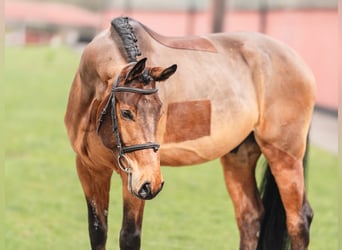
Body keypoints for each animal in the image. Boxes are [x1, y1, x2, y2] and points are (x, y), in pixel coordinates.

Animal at [65, 16, 316, 249]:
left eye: (161, 110)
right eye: (126, 113)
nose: (152, 184)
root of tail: (299, 63)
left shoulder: (133, 177)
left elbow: (129, 236)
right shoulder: (89, 168)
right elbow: (98, 231)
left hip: (284, 156)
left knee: (298, 221)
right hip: (238, 157)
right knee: (250, 217)